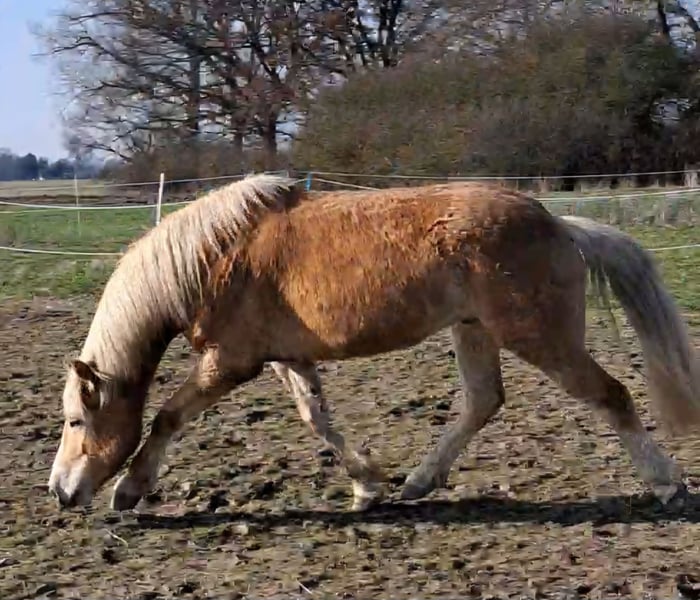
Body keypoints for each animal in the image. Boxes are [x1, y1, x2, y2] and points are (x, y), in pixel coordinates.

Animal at [47, 173, 700, 513]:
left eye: (78, 421)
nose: (60, 493)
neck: (213, 257)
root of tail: (560, 224)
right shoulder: (288, 358)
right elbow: (319, 420)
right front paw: (367, 486)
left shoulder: (230, 362)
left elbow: (166, 417)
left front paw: (130, 489)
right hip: (473, 331)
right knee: (483, 401)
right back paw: (417, 482)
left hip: (538, 337)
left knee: (611, 395)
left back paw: (667, 483)